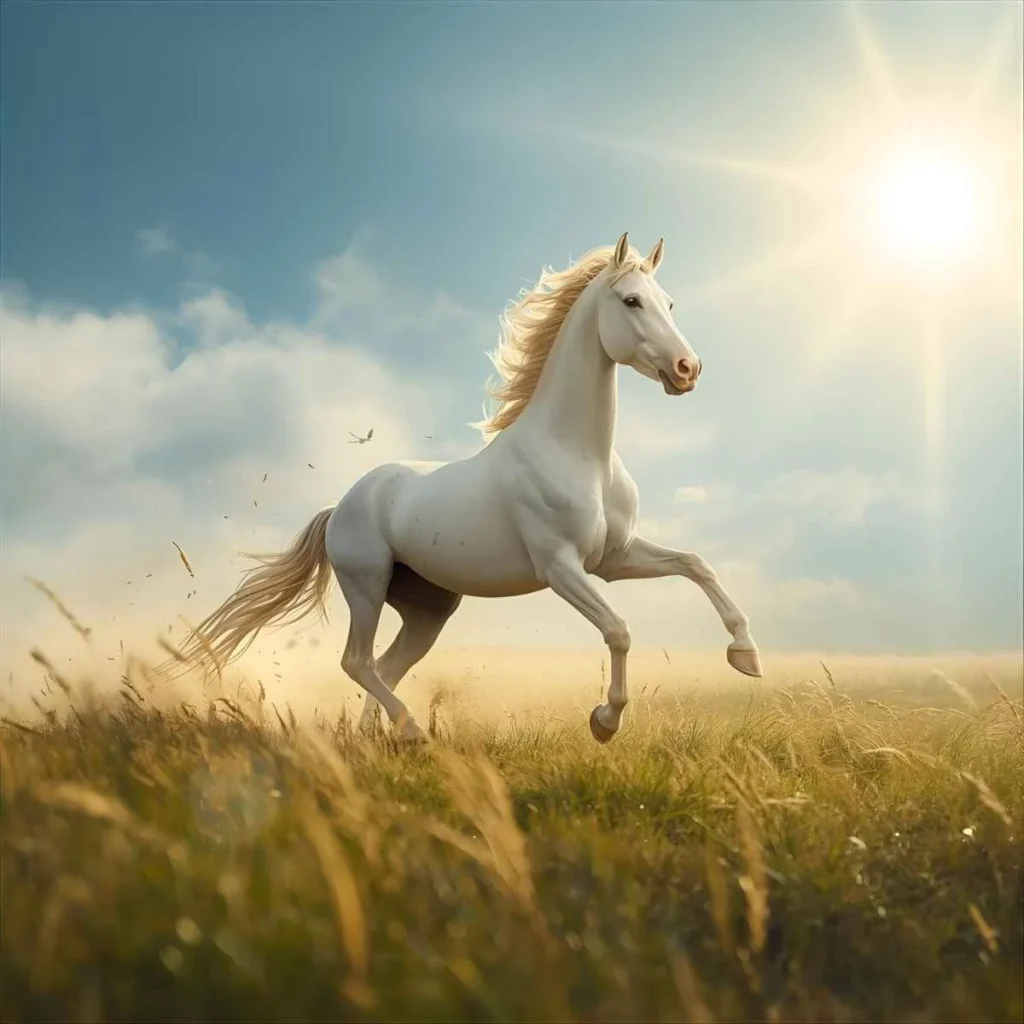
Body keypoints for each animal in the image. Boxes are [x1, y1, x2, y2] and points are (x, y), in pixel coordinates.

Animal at [177, 233, 762, 743]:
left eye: (670, 303)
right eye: (631, 300)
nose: (688, 369)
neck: (579, 454)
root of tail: (340, 505)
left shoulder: (612, 560)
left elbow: (696, 565)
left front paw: (746, 656)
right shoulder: (561, 566)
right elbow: (618, 630)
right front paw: (604, 722)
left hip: (428, 610)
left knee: (385, 666)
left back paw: (375, 738)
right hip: (366, 586)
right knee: (357, 660)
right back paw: (411, 731)